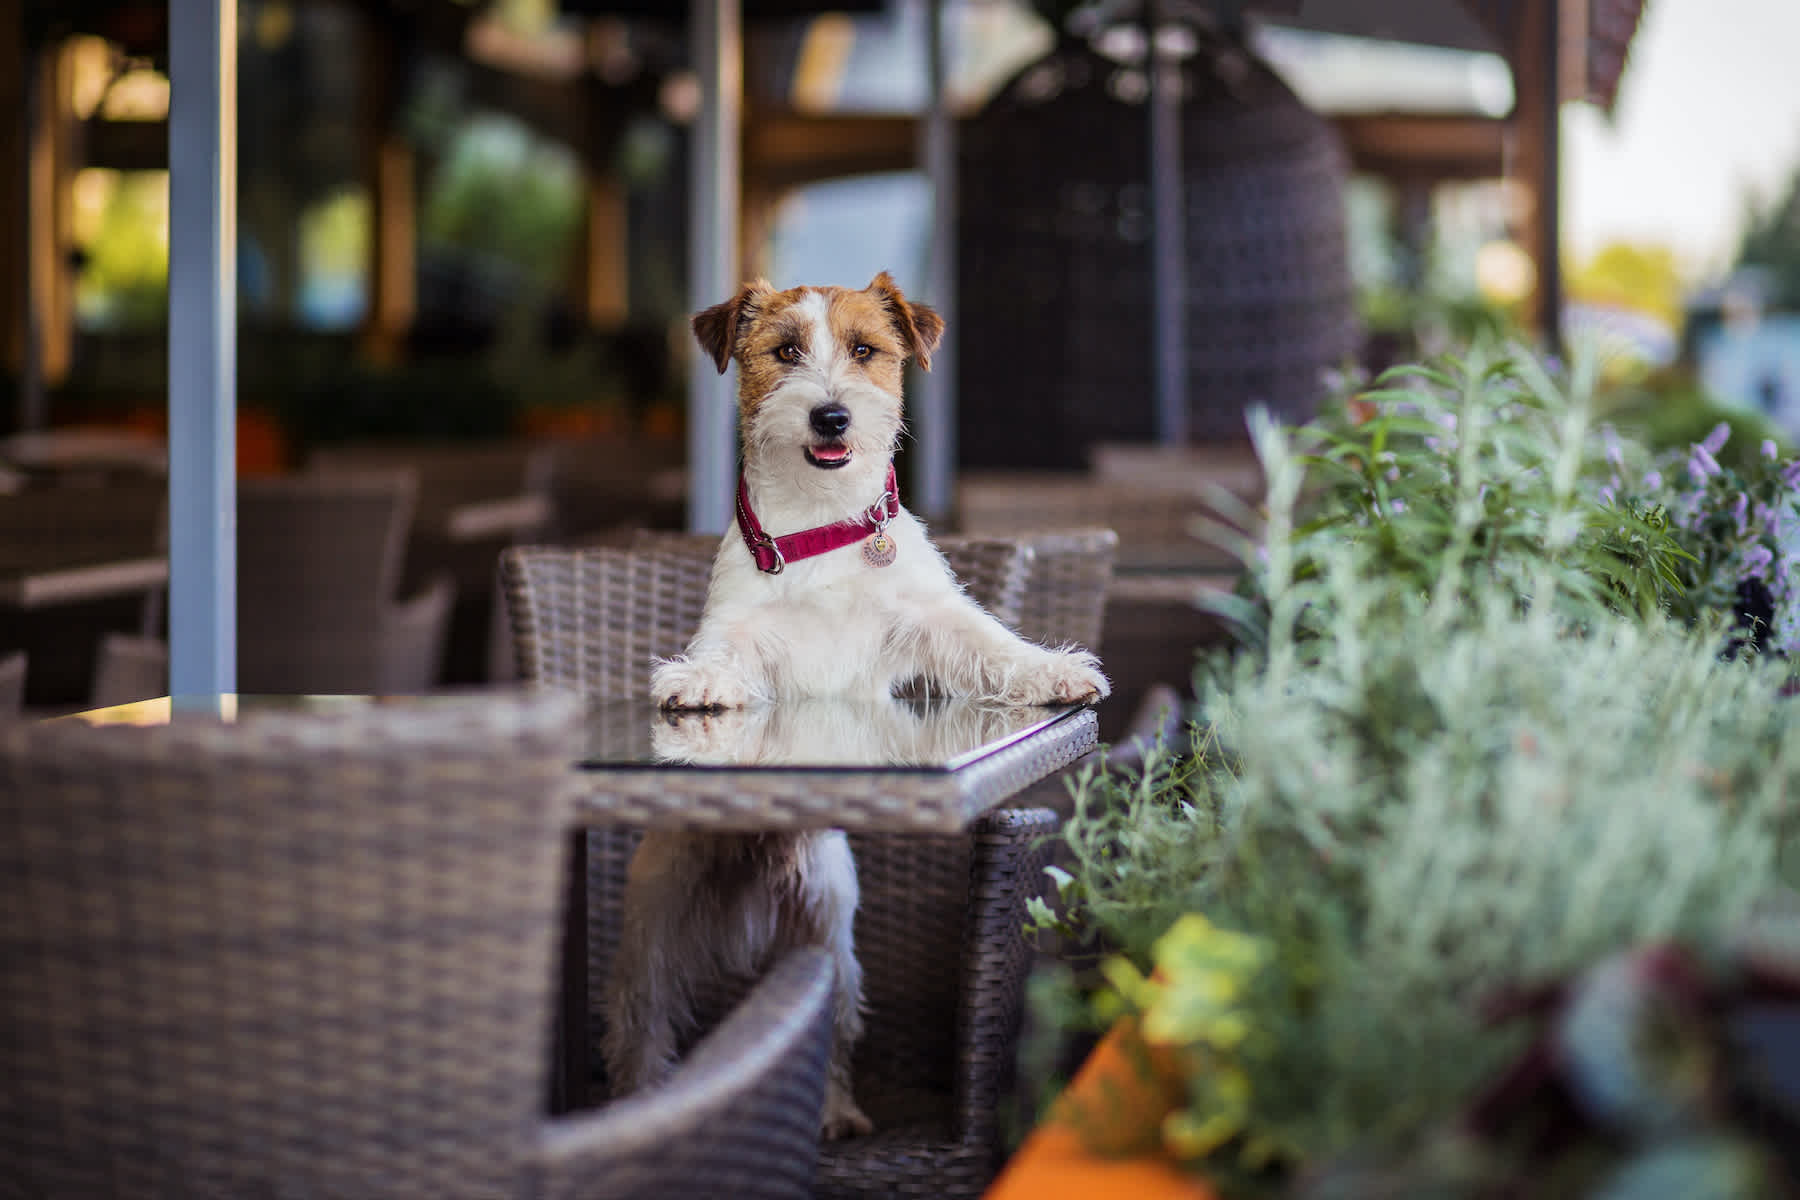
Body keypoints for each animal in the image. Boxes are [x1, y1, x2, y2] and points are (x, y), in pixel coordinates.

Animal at [604, 275, 1101, 1144]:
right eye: (785, 351)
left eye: (865, 349)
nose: (831, 416)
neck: (821, 525)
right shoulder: (741, 630)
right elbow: (722, 656)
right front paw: (696, 683)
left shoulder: (933, 619)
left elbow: (992, 641)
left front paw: (1055, 670)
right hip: (655, 927)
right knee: (644, 1025)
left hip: (829, 929)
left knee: (830, 1024)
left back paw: (834, 1110)